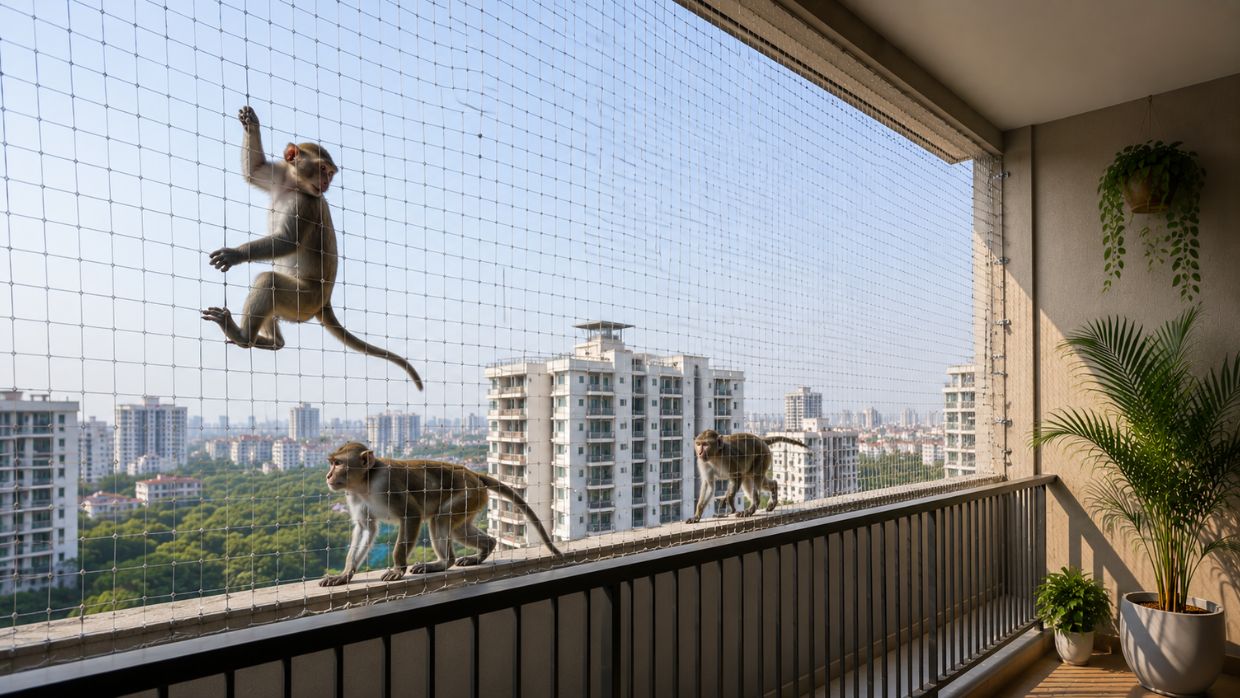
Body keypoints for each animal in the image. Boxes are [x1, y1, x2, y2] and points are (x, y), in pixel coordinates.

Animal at [202, 106, 424, 390]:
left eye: (329, 172)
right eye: (323, 169)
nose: (327, 183)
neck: (292, 187)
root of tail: (324, 302)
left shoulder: (306, 206)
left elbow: (288, 241)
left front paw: (235, 254)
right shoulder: (278, 176)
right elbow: (254, 169)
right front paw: (250, 122)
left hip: (304, 300)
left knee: (268, 280)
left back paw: (242, 336)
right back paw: (273, 341)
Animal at [319, 441, 562, 585]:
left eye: (338, 463)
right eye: (332, 463)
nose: (328, 476)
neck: (366, 482)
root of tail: (473, 473)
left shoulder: (386, 483)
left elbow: (412, 514)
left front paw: (398, 568)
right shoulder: (354, 496)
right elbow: (365, 529)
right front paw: (345, 574)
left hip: (467, 493)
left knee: (440, 519)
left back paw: (443, 562)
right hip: (474, 499)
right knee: (458, 528)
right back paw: (483, 550)